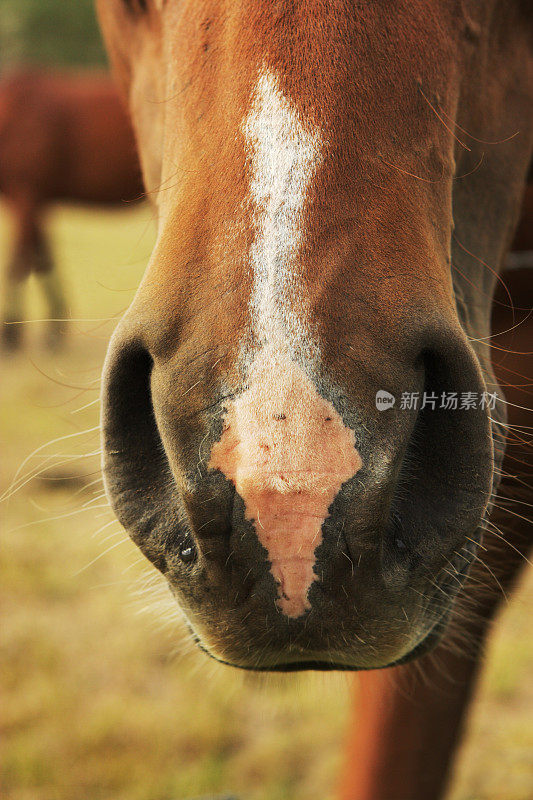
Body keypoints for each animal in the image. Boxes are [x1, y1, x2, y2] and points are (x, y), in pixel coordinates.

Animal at [0, 72, 142, 350]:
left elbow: (18, 263)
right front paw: (53, 329)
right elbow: (42, 261)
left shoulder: (25, 195)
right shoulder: (37, 203)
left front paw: (10, 334)